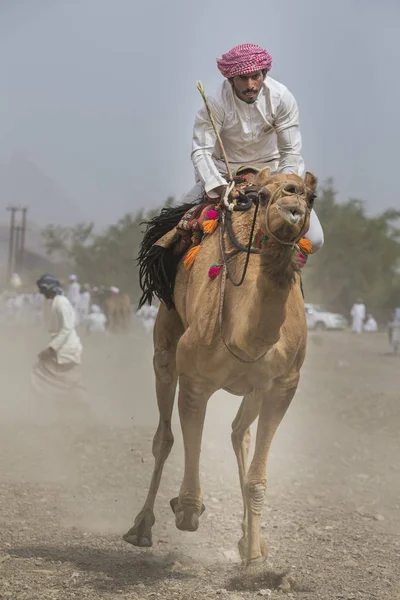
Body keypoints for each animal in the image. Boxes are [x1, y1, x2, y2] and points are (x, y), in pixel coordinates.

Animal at [123, 170, 318, 568]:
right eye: (262, 195)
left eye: (312, 196)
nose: (293, 200)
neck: (247, 337)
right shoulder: (195, 377)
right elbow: (186, 444)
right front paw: (186, 508)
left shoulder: (283, 385)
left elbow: (257, 479)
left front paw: (255, 558)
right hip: (167, 340)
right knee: (163, 435)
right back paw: (141, 528)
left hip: (254, 390)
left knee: (238, 433)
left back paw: (248, 539)